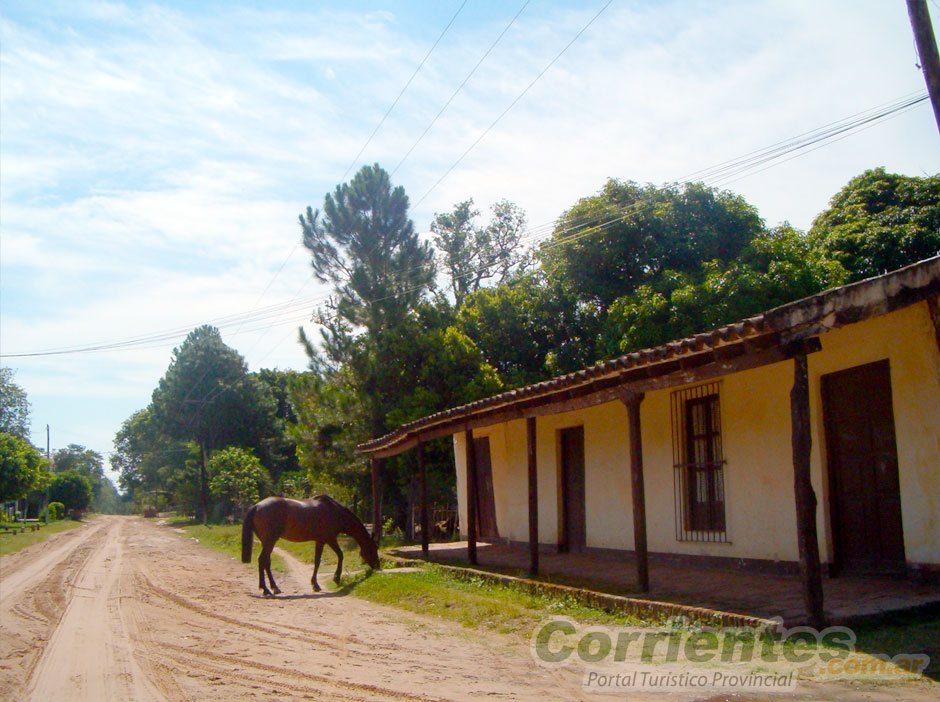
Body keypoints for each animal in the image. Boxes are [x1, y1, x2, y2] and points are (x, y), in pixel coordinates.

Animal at [241, 496, 380, 600]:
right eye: (373, 548)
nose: (378, 566)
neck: (335, 512)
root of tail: (256, 506)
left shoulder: (320, 541)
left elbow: (317, 560)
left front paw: (315, 583)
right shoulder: (329, 539)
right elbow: (338, 555)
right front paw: (335, 579)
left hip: (267, 542)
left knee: (266, 561)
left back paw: (273, 588)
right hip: (270, 541)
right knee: (262, 560)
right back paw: (266, 589)